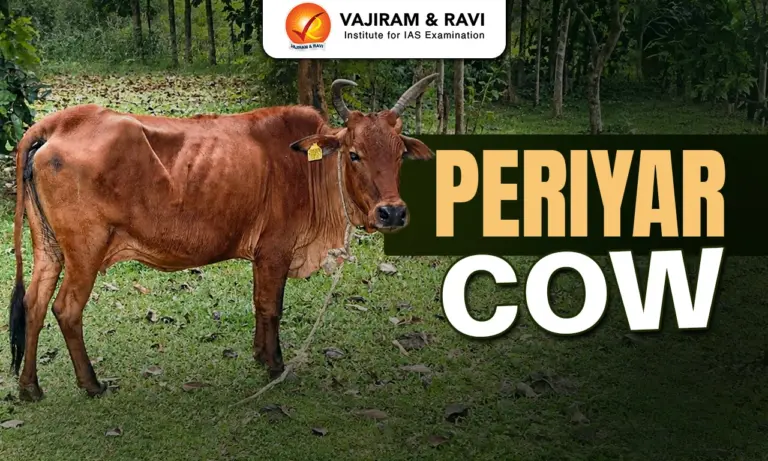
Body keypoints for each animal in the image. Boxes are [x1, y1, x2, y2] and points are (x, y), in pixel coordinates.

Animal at [8, 74, 438, 401]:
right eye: (354, 154)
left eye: (399, 154)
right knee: (66, 309)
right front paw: (275, 365)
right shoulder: (275, 249)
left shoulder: (263, 254)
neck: (308, 168)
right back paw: (91, 383)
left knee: (34, 304)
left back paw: (30, 387)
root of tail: (59, 123)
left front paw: (260, 355)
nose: (392, 212)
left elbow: (260, 305)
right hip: (86, 250)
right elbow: (271, 306)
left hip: (48, 248)